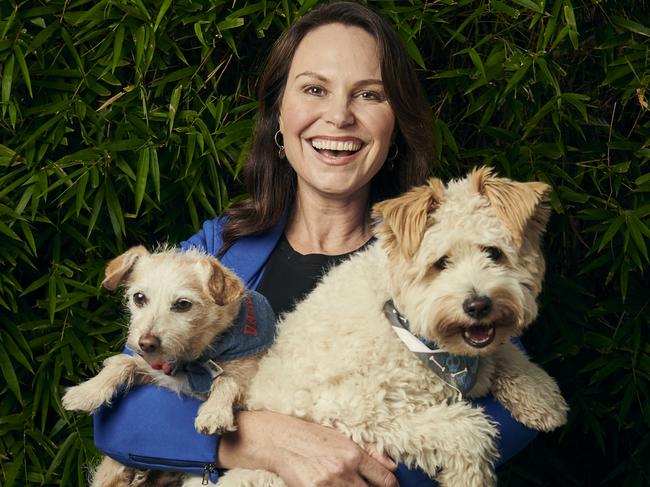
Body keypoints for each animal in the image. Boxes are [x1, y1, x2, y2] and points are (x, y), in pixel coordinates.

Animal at [62, 248, 272, 487]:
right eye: (139, 298)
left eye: (183, 304)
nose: (146, 343)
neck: (193, 360)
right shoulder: (160, 372)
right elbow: (123, 361)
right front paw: (86, 392)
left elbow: (226, 379)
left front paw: (214, 413)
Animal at [214, 168, 568, 487]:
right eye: (441, 263)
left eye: (493, 253)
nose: (478, 306)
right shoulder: (358, 415)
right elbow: (468, 428)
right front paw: (467, 477)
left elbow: (505, 354)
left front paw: (541, 396)